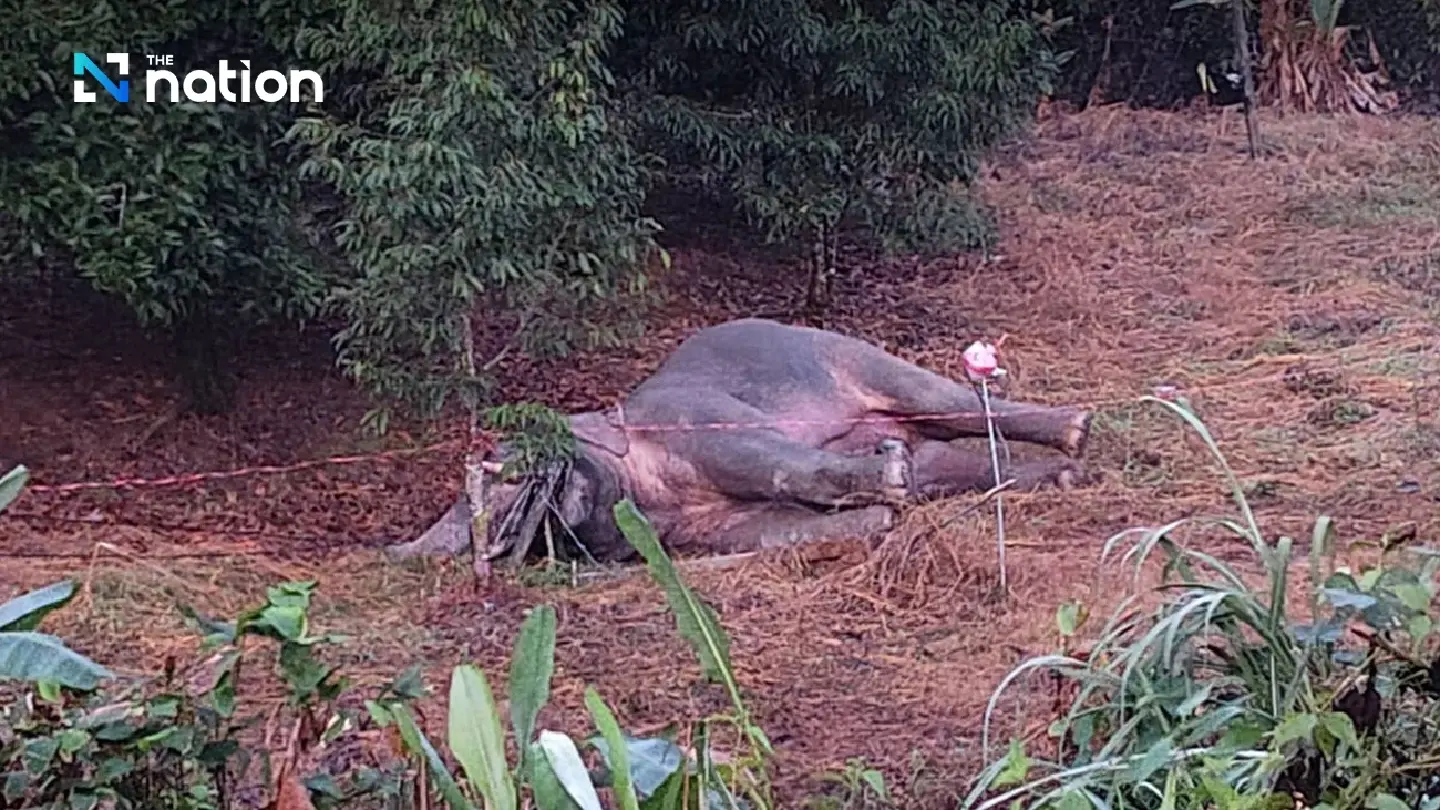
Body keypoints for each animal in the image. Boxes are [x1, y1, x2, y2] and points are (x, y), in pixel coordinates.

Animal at [388, 318, 1093, 565]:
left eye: (506, 471)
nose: (497, 541)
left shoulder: (703, 420)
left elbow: (777, 462)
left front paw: (888, 482)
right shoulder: (706, 530)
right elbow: (781, 529)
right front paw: (887, 513)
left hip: (858, 359)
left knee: (959, 402)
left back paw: (1079, 430)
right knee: (951, 455)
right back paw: (1061, 478)